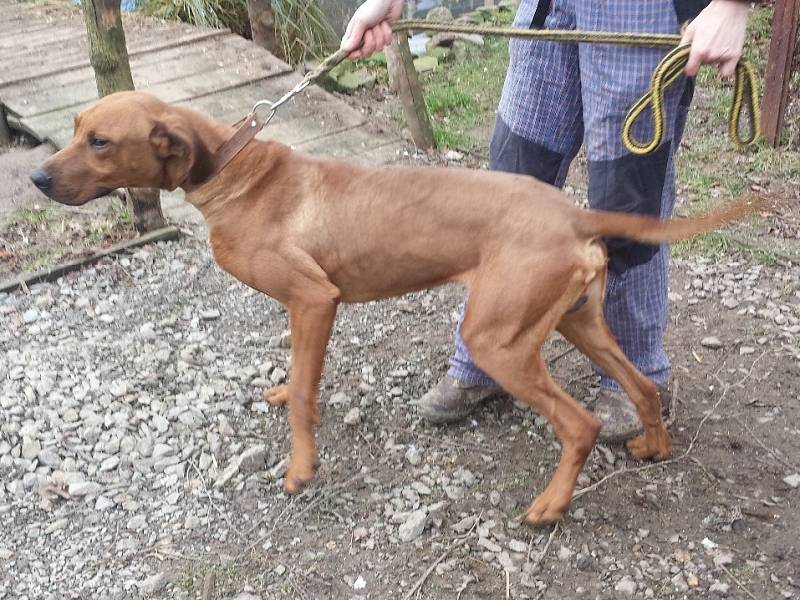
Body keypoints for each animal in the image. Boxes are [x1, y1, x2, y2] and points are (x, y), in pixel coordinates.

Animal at [29, 90, 744, 524]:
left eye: (100, 142)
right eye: (75, 130)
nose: (35, 178)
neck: (235, 172)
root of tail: (574, 212)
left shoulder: (314, 301)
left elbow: (309, 395)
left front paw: (301, 469)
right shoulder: (305, 311)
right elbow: (299, 376)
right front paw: (285, 395)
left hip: (498, 340)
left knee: (581, 424)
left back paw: (550, 506)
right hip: (576, 321)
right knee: (642, 387)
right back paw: (653, 447)